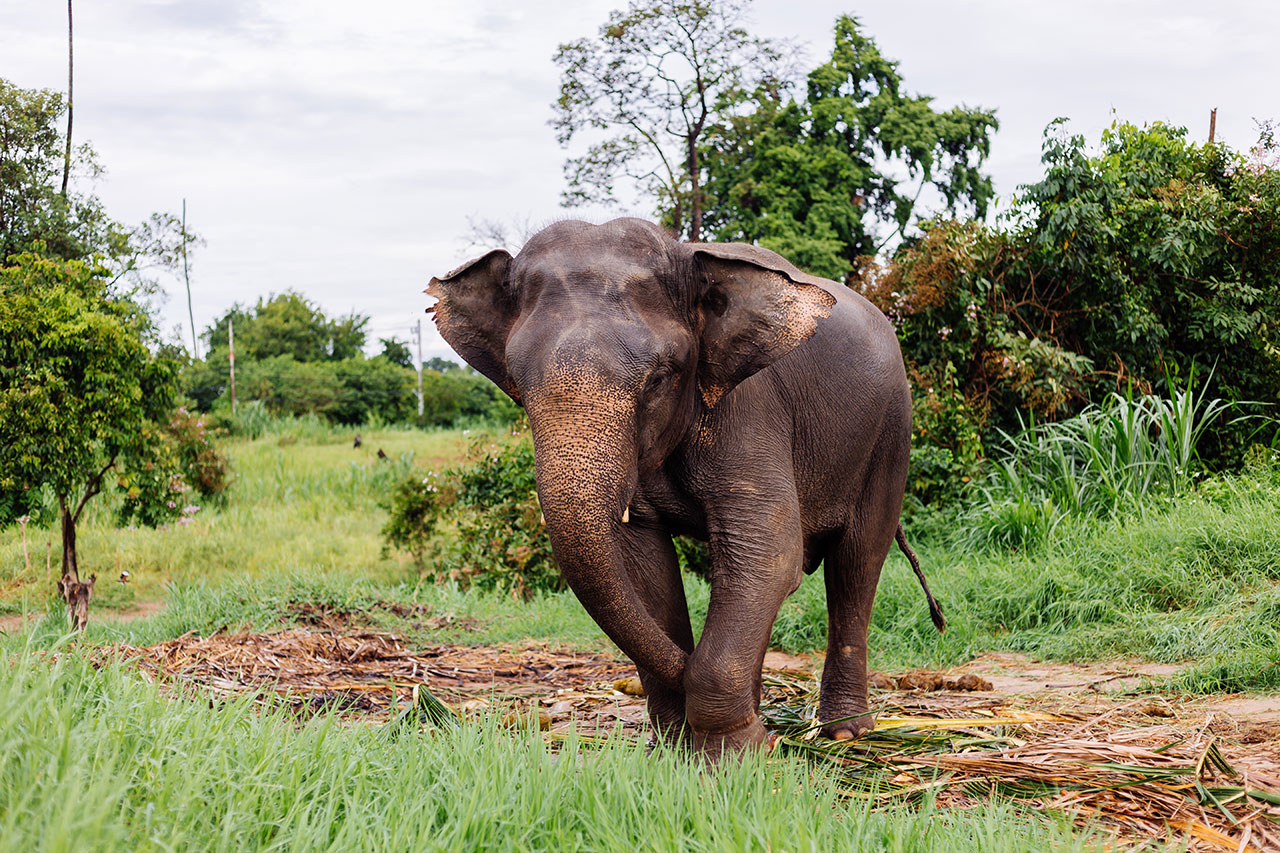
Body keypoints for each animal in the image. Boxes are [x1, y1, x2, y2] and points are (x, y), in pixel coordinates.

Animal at [430, 216, 942, 753]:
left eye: (659, 378)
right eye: (518, 383)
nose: (770, 735)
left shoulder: (748, 407)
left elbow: (769, 553)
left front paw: (741, 753)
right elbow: (643, 566)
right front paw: (678, 748)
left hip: (891, 431)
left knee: (857, 560)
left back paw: (844, 731)